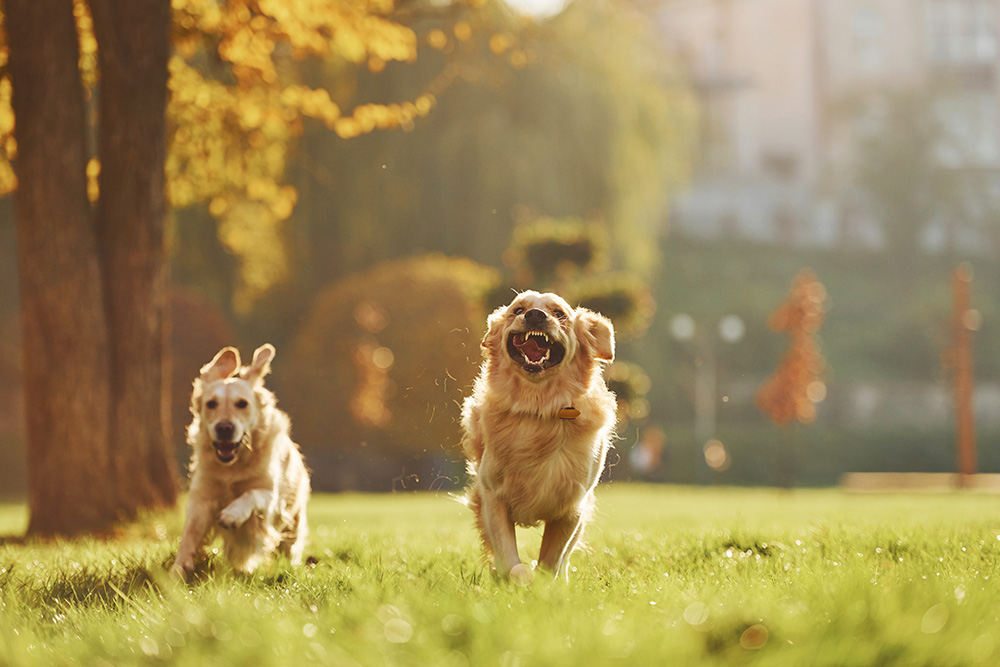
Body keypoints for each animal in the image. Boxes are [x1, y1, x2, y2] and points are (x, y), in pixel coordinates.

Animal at [170, 344, 308, 580]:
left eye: (242, 404)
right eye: (211, 404)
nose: (224, 428)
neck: (232, 467)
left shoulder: (271, 498)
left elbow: (251, 494)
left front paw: (232, 515)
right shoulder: (202, 497)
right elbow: (190, 532)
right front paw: (179, 568)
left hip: (293, 522)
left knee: (291, 548)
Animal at [462, 290, 616, 580]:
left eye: (559, 314)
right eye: (518, 310)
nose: (535, 315)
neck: (538, 407)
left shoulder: (571, 507)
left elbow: (552, 561)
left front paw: (544, 583)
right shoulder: (493, 496)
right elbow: (509, 559)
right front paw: (518, 577)